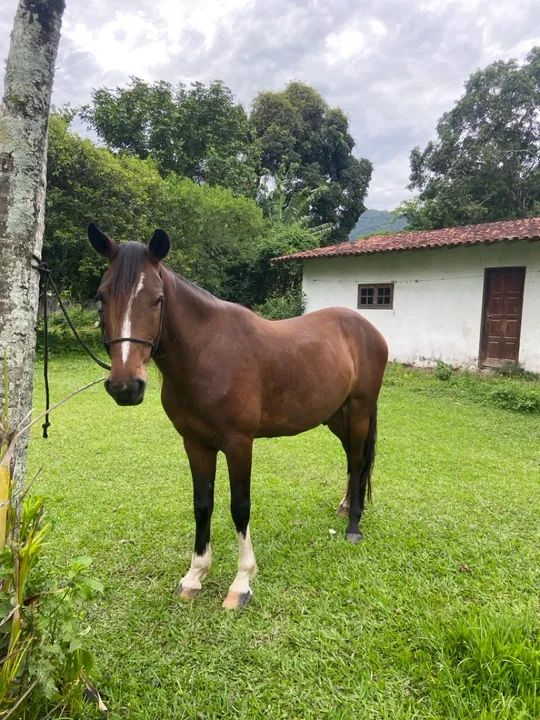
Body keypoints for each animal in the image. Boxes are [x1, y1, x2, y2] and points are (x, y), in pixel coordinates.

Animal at [88, 223, 388, 609]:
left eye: (157, 299)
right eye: (101, 298)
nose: (125, 386)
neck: (207, 354)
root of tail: (367, 328)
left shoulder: (239, 443)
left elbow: (239, 507)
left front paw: (242, 582)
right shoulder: (195, 443)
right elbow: (202, 505)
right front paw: (194, 575)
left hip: (360, 410)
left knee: (358, 461)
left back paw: (353, 526)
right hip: (336, 417)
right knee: (353, 462)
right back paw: (346, 506)